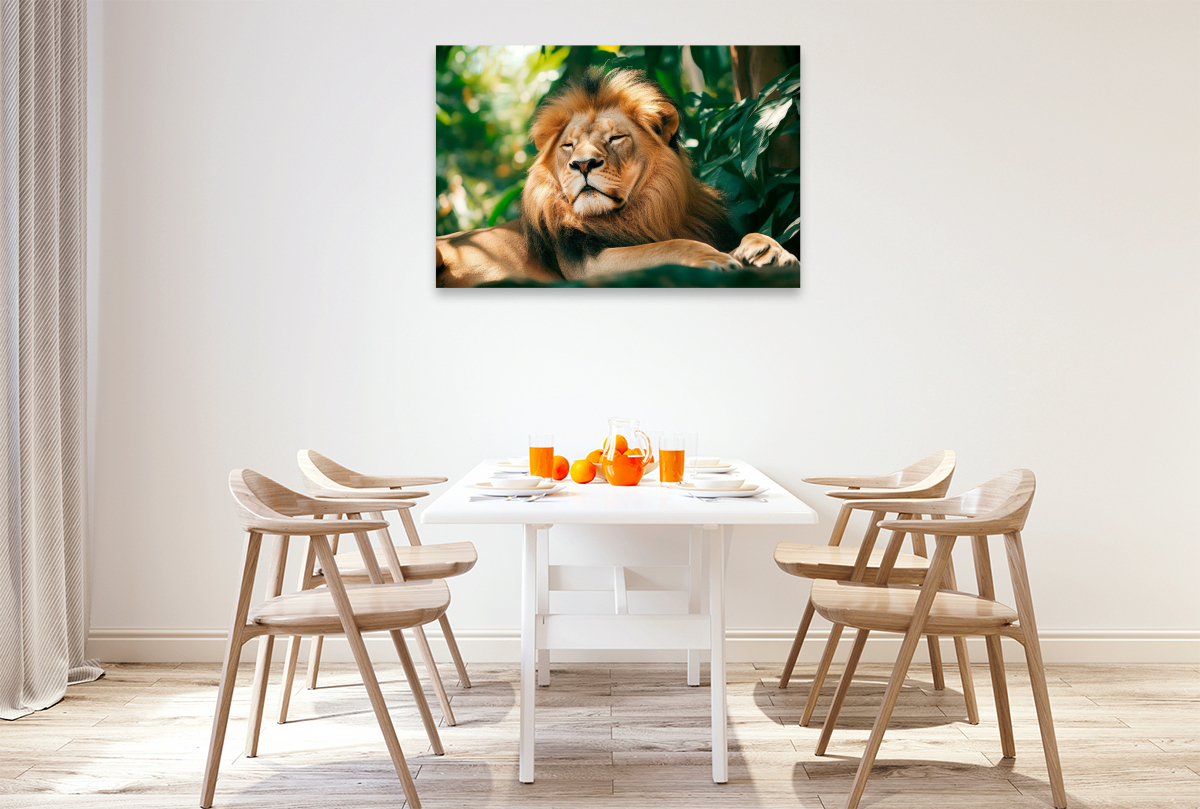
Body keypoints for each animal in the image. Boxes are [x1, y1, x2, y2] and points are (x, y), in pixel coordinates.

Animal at [436, 68, 798, 288]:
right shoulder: (585, 266)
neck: (649, 210)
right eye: (568, 145)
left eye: (615, 139)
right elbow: (664, 247)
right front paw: (711, 257)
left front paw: (769, 251)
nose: (583, 164)